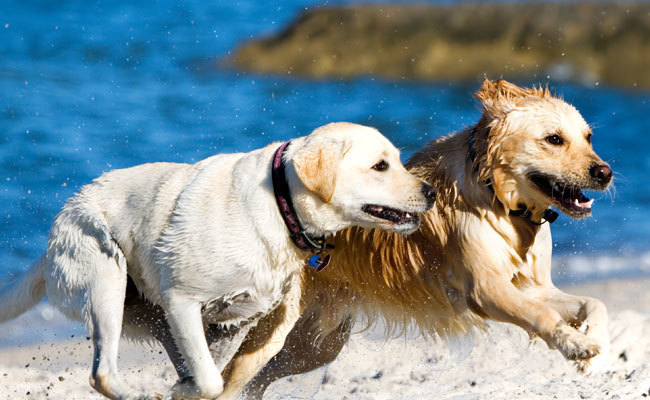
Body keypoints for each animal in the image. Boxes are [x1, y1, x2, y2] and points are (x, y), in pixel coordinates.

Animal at [1, 122, 436, 400]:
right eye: (380, 166)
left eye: (398, 161)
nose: (431, 191)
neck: (281, 204)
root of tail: (50, 242)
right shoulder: (182, 301)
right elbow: (211, 381)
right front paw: (185, 389)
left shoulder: (237, 320)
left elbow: (214, 373)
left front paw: (184, 389)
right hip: (107, 275)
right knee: (103, 374)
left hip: (155, 316)